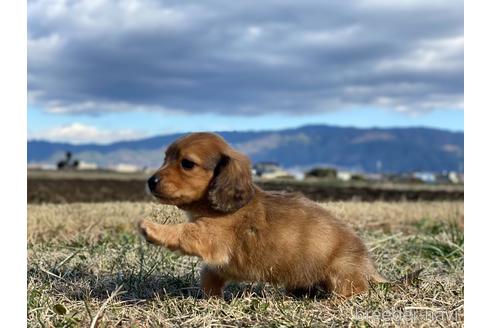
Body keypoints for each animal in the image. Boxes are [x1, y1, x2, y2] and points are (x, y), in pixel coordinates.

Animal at [137, 132, 384, 298]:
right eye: (165, 158)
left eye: (187, 164)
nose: (150, 182)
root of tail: (368, 267)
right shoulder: (216, 263)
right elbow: (208, 275)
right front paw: (210, 299)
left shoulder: (211, 235)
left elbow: (184, 232)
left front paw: (152, 228)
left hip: (340, 272)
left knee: (354, 290)